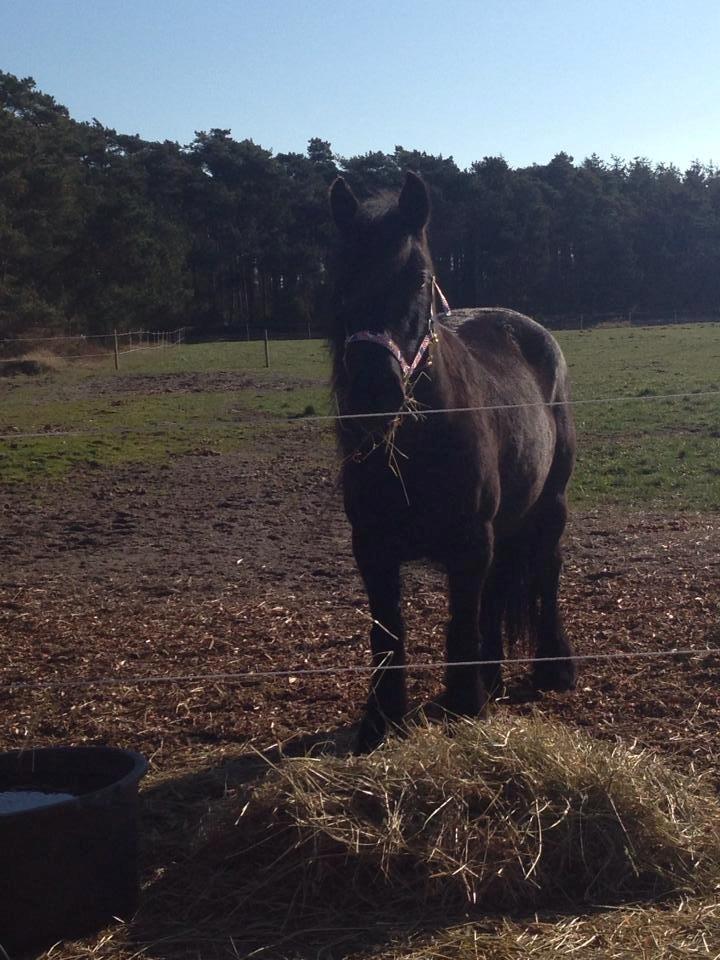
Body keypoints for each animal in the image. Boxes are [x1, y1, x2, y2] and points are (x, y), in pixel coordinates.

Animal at [329, 171, 577, 752]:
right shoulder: (372, 546)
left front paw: (466, 705)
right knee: (499, 591)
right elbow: (387, 632)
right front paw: (381, 722)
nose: (371, 391)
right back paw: (495, 675)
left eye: (419, 279)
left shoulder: (470, 540)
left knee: (546, 570)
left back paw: (553, 667)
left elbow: (461, 622)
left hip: (549, 504)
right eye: (338, 277)